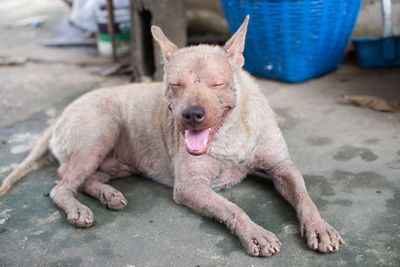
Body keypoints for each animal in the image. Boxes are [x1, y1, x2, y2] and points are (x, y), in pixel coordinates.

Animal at [0, 16, 344, 258]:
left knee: (78, 177)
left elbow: (304, 196)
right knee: (61, 184)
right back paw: (78, 209)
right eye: (176, 85)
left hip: (113, 160)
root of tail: (62, 112)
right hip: (102, 130)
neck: (231, 133)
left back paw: (106, 194)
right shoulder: (190, 186)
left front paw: (320, 227)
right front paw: (254, 232)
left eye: (217, 84)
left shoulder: (282, 168)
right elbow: (231, 209)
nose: (191, 114)